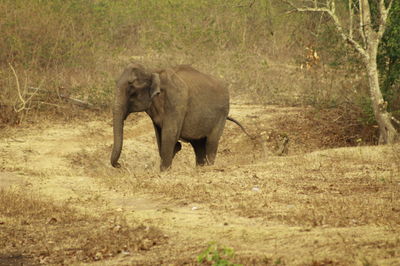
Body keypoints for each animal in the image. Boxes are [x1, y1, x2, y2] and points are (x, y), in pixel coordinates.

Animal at [111, 62, 248, 170]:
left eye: (131, 88)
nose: (119, 165)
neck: (153, 71)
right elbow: (160, 136)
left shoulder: (176, 100)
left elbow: (169, 133)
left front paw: (165, 170)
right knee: (198, 145)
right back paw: (200, 168)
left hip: (221, 114)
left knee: (211, 142)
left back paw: (209, 167)